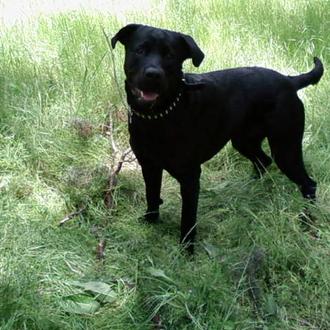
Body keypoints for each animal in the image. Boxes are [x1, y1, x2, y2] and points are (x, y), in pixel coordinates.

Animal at [112, 24, 324, 254]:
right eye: (140, 50)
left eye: (170, 55)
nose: (153, 74)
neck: (159, 116)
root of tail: (289, 80)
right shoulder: (149, 165)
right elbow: (151, 195)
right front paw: (150, 222)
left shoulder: (190, 176)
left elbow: (188, 218)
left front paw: (187, 249)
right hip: (244, 141)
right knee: (263, 161)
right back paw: (250, 188)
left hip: (285, 148)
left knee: (308, 184)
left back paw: (305, 220)